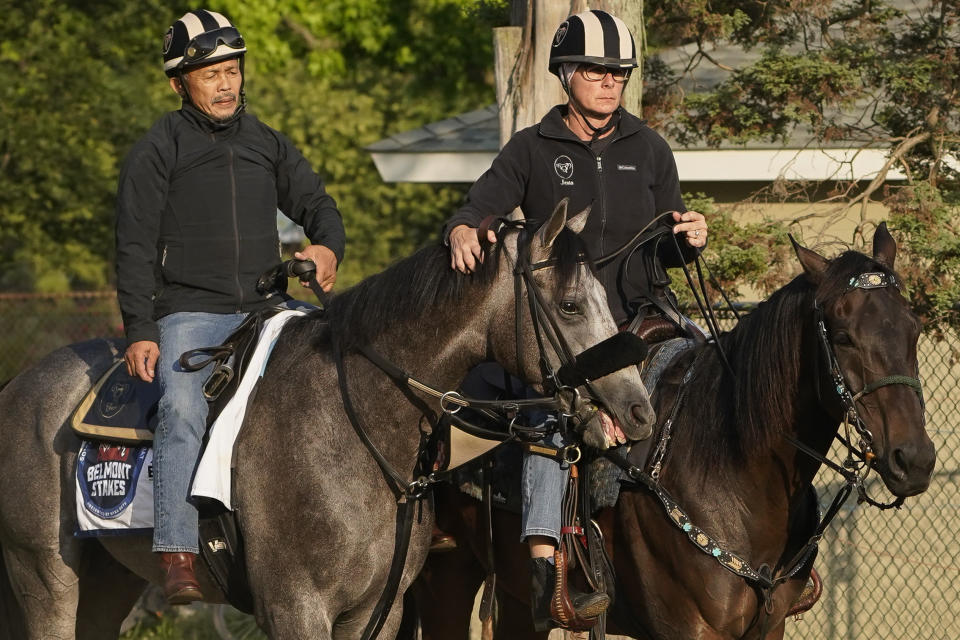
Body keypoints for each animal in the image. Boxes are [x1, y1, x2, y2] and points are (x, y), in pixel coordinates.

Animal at [0, 201, 652, 640]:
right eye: (571, 305)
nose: (637, 409)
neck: (349, 425)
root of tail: (18, 386)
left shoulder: (377, 612)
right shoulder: (295, 608)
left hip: (106, 585)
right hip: (46, 580)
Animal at [410, 225, 936, 640]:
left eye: (913, 330)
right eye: (843, 336)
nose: (914, 459)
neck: (731, 467)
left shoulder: (769, 627)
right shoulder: (686, 628)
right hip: (443, 573)